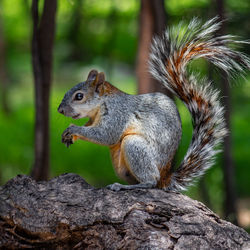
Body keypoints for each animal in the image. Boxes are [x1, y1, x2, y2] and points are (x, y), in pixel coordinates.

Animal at [57, 17, 249, 192]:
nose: (59, 110)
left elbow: (105, 134)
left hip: (134, 146)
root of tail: (166, 177)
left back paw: (126, 186)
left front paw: (73, 129)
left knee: (151, 182)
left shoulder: (118, 114)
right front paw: (69, 134)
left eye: (79, 96)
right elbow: (91, 128)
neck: (101, 105)